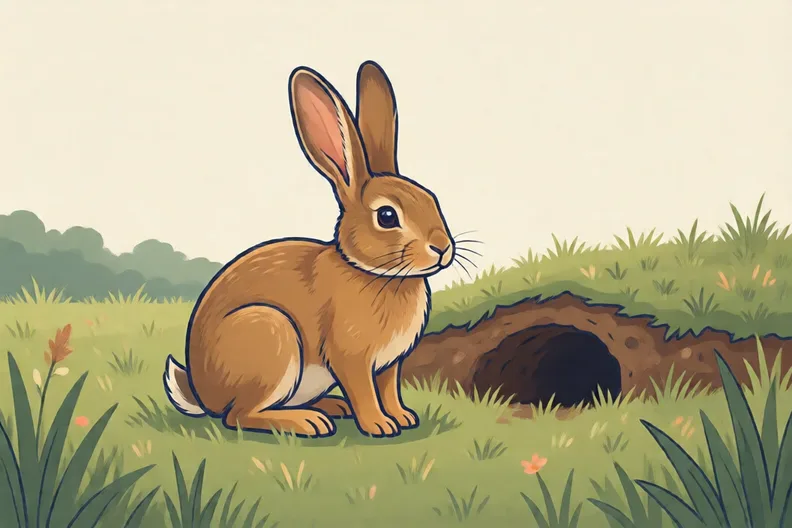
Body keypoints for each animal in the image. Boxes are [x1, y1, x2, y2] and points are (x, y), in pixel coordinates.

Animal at [163, 60, 455, 438]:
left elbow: (389, 390)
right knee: (238, 415)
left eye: (431, 199)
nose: (443, 248)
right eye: (387, 216)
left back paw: (330, 407)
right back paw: (308, 422)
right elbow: (364, 393)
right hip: (271, 338)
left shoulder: (389, 364)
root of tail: (202, 393)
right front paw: (379, 426)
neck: (373, 273)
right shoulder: (351, 358)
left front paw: (403, 417)